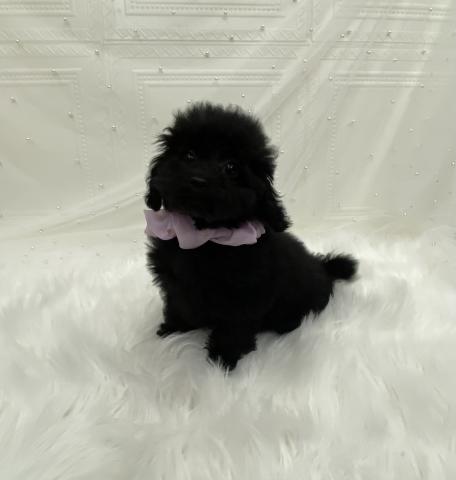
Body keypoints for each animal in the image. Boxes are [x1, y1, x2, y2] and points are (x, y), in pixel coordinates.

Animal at [144, 102, 357, 370]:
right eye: (190, 155)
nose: (199, 180)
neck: (204, 237)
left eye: (231, 167)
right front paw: (173, 329)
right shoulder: (175, 283)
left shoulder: (245, 296)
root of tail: (324, 268)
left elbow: (234, 327)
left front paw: (223, 359)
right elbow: (178, 304)